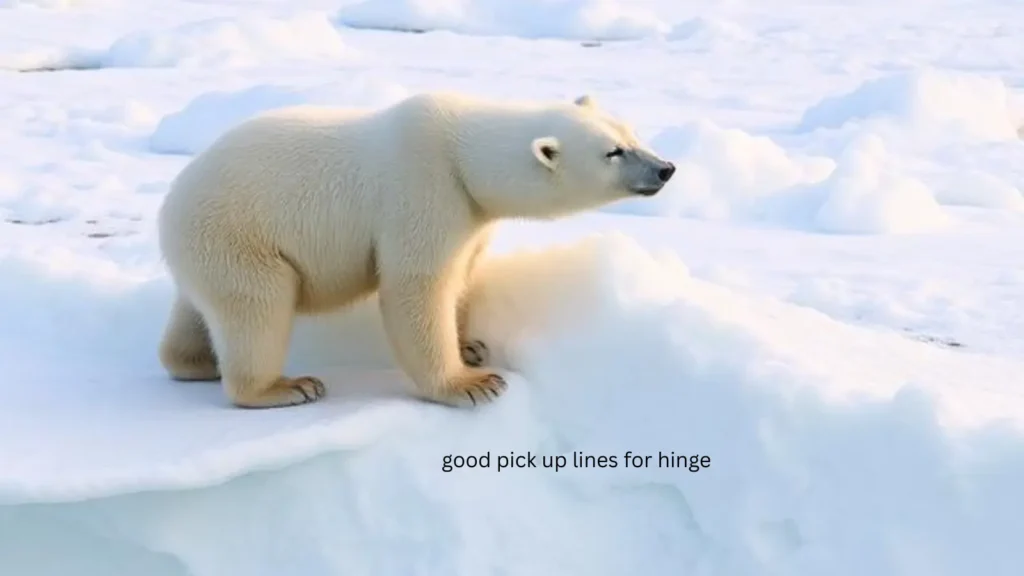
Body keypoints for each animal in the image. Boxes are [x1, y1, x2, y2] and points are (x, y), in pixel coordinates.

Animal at [156, 91, 676, 409]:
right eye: (612, 152)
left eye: (631, 134)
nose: (666, 168)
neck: (463, 153)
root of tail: (168, 209)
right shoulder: (424, 188)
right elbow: (417, 285)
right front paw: (471, 384)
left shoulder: (470, 213)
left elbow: (462, 272)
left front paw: (470, 345)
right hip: (241, 234)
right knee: (258, 306)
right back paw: (284, 386)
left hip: (209, 247)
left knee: (200, 307)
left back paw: (194, 361)